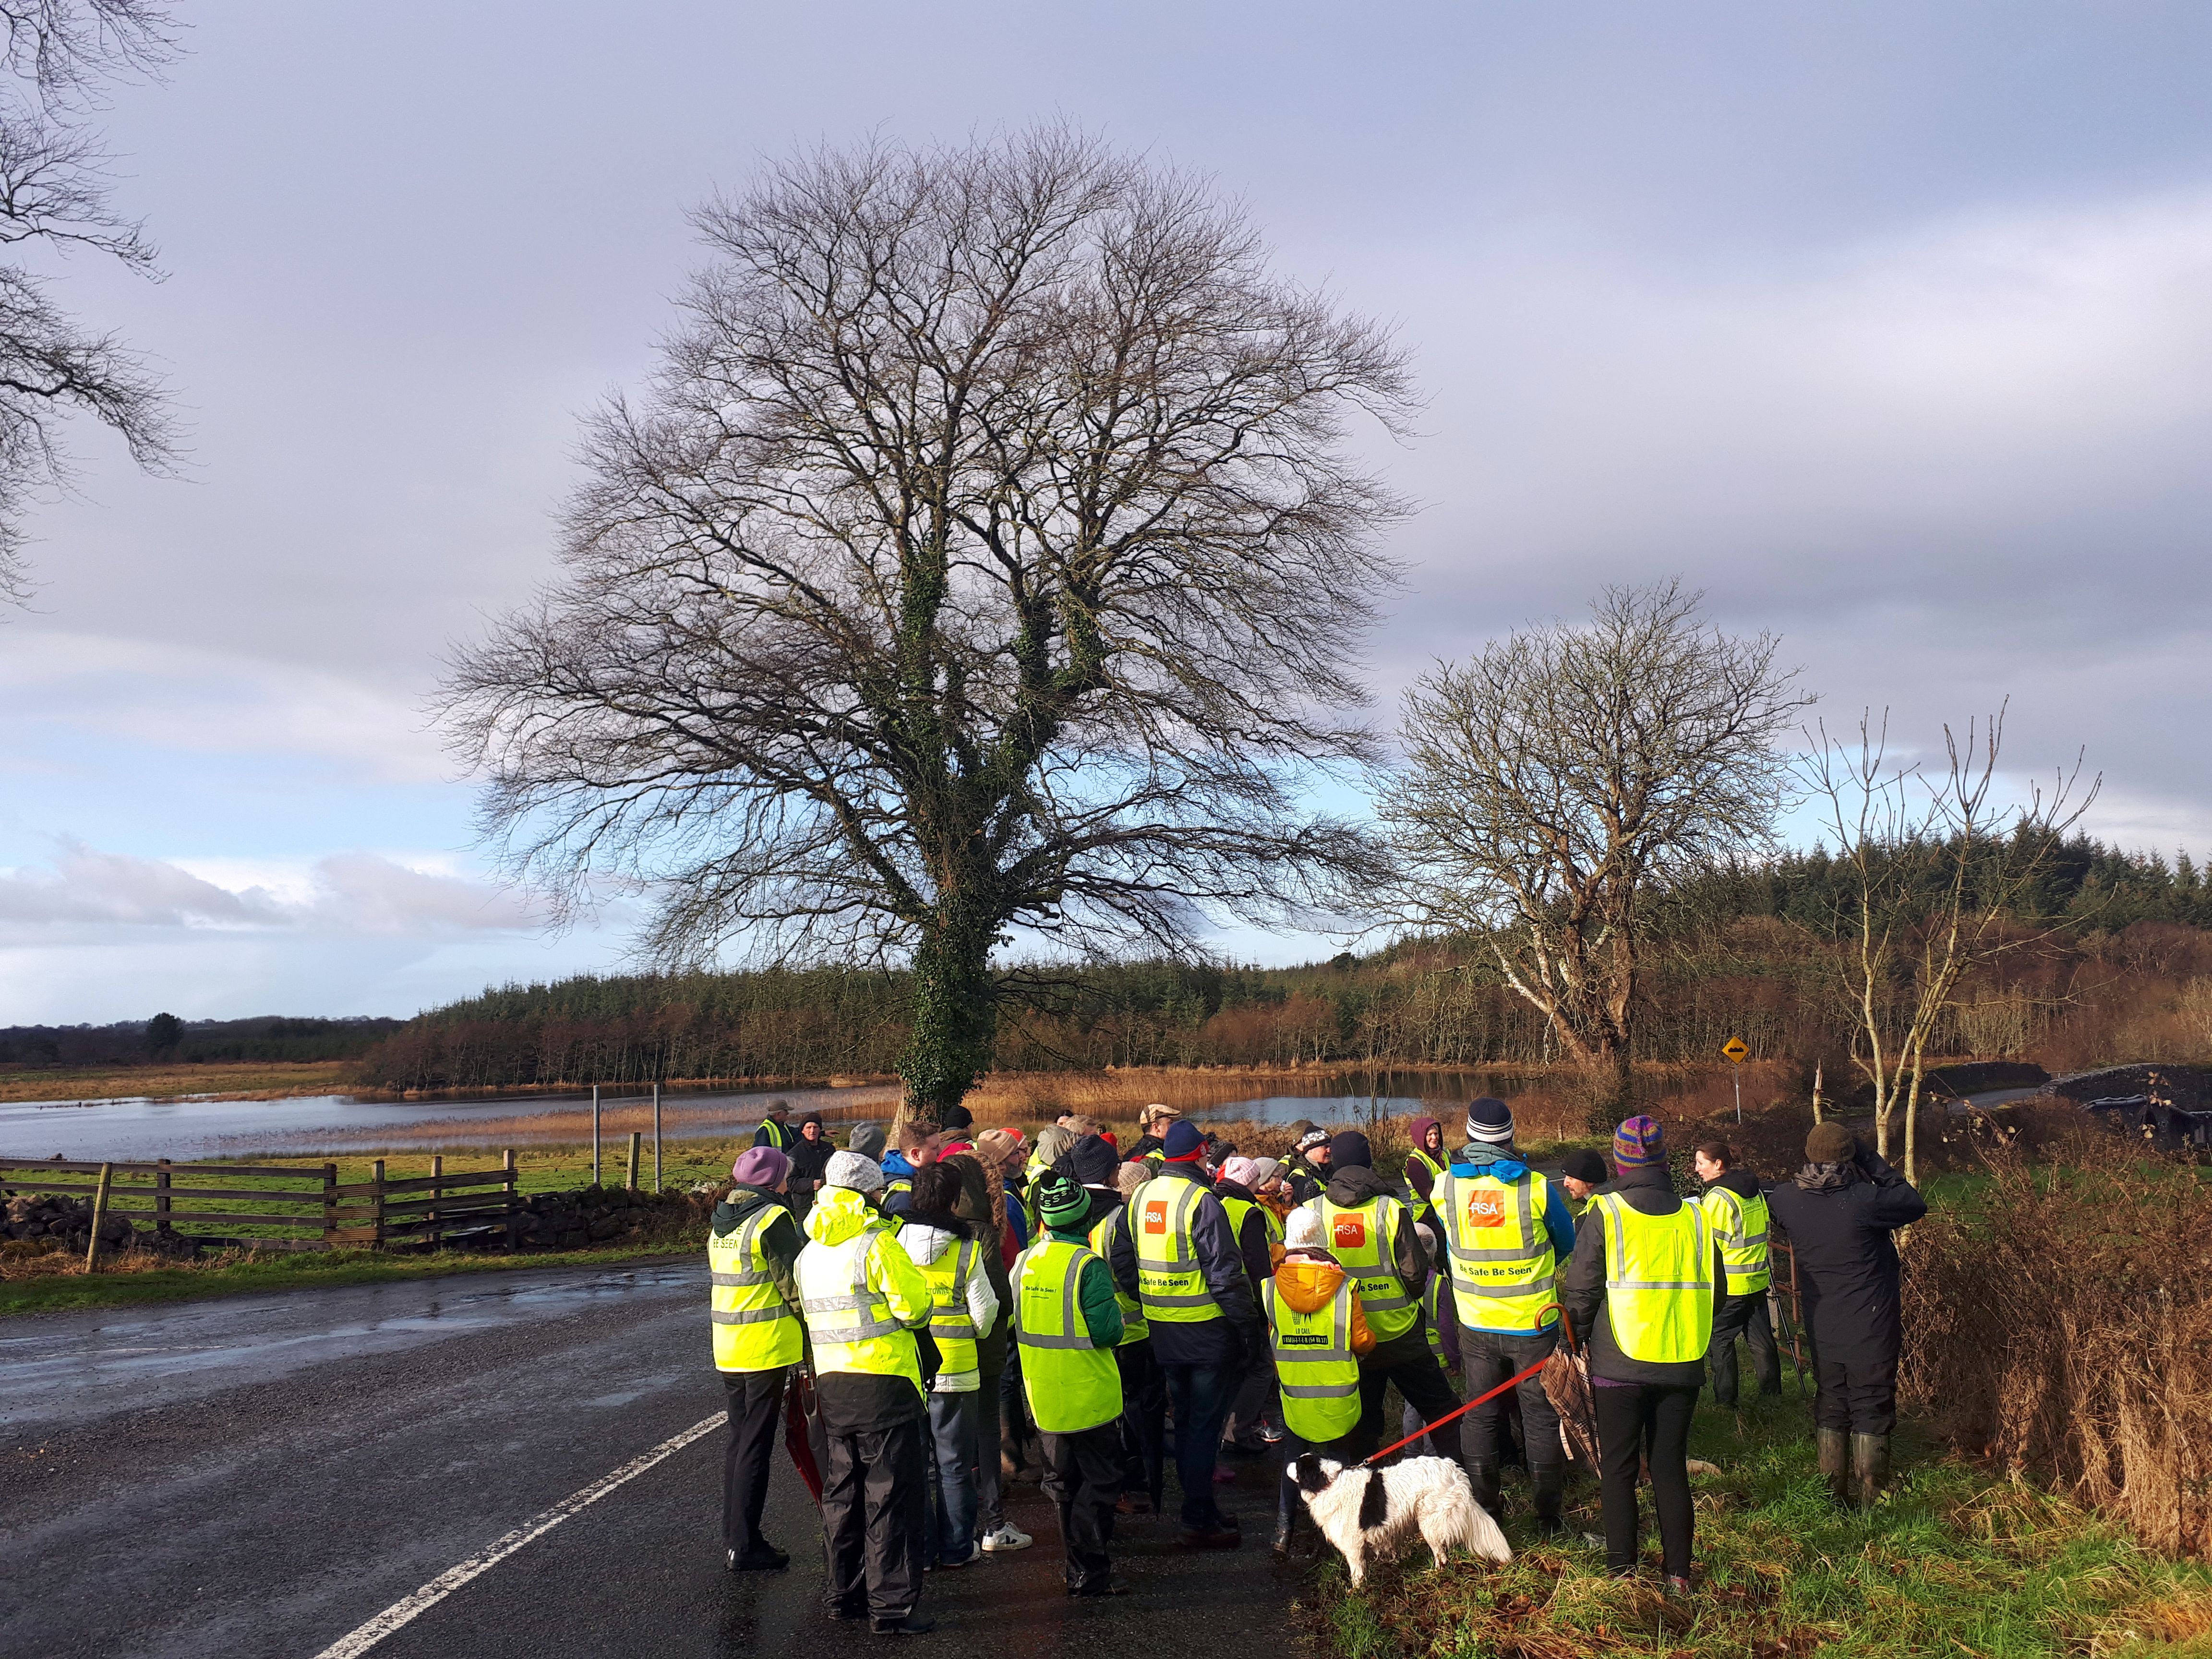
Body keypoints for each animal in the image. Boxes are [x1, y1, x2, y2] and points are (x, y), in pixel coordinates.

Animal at [1292, 1451, 1513, 1584]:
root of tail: (1456, 1474)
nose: (1288, 1462)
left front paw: (1356, 1593)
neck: (1327, 1483)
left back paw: (1434, 1573)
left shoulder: (1353, 1545)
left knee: (1441, 1556)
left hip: (1429, 1523)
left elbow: (1357, 1573)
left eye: (1297, 1466)